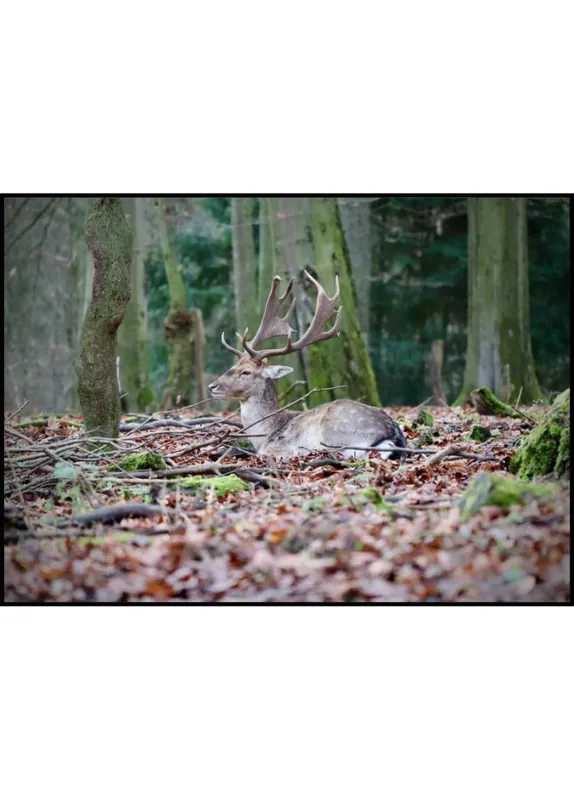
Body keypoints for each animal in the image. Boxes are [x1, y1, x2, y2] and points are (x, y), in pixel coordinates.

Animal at [208, 271, 406, 460]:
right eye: (235, 366)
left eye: (246, 372)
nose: (212, 386)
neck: (266, 435)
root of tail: (393, 434)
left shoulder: (277, 448)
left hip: (334, 432)